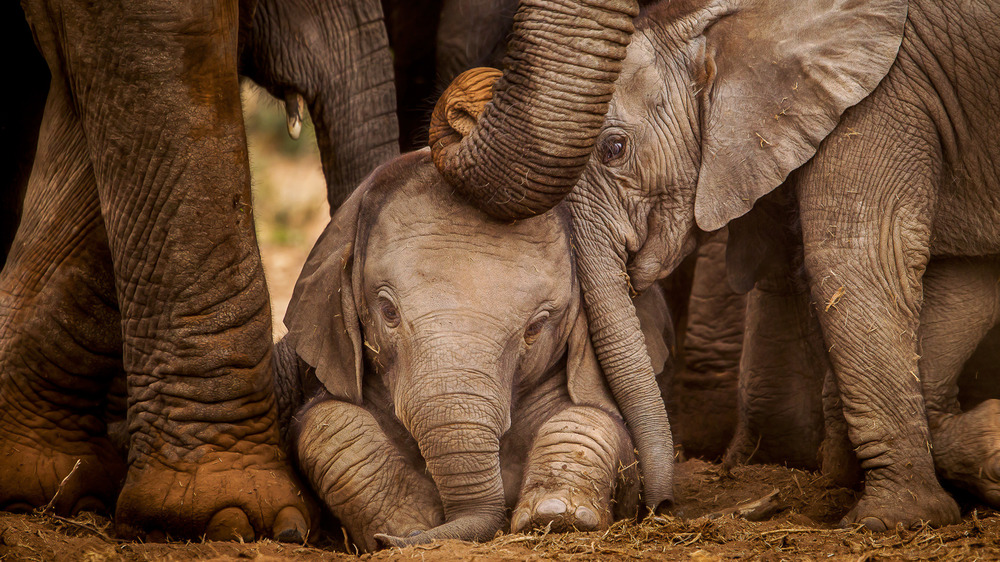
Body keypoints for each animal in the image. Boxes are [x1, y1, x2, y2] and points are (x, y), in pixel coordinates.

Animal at [272, 150, 672, 552]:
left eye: (535, 327)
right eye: (388, 311)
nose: (662, 508)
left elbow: (596, 420)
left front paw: (557, 516)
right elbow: (327, 420)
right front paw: (408, 526)